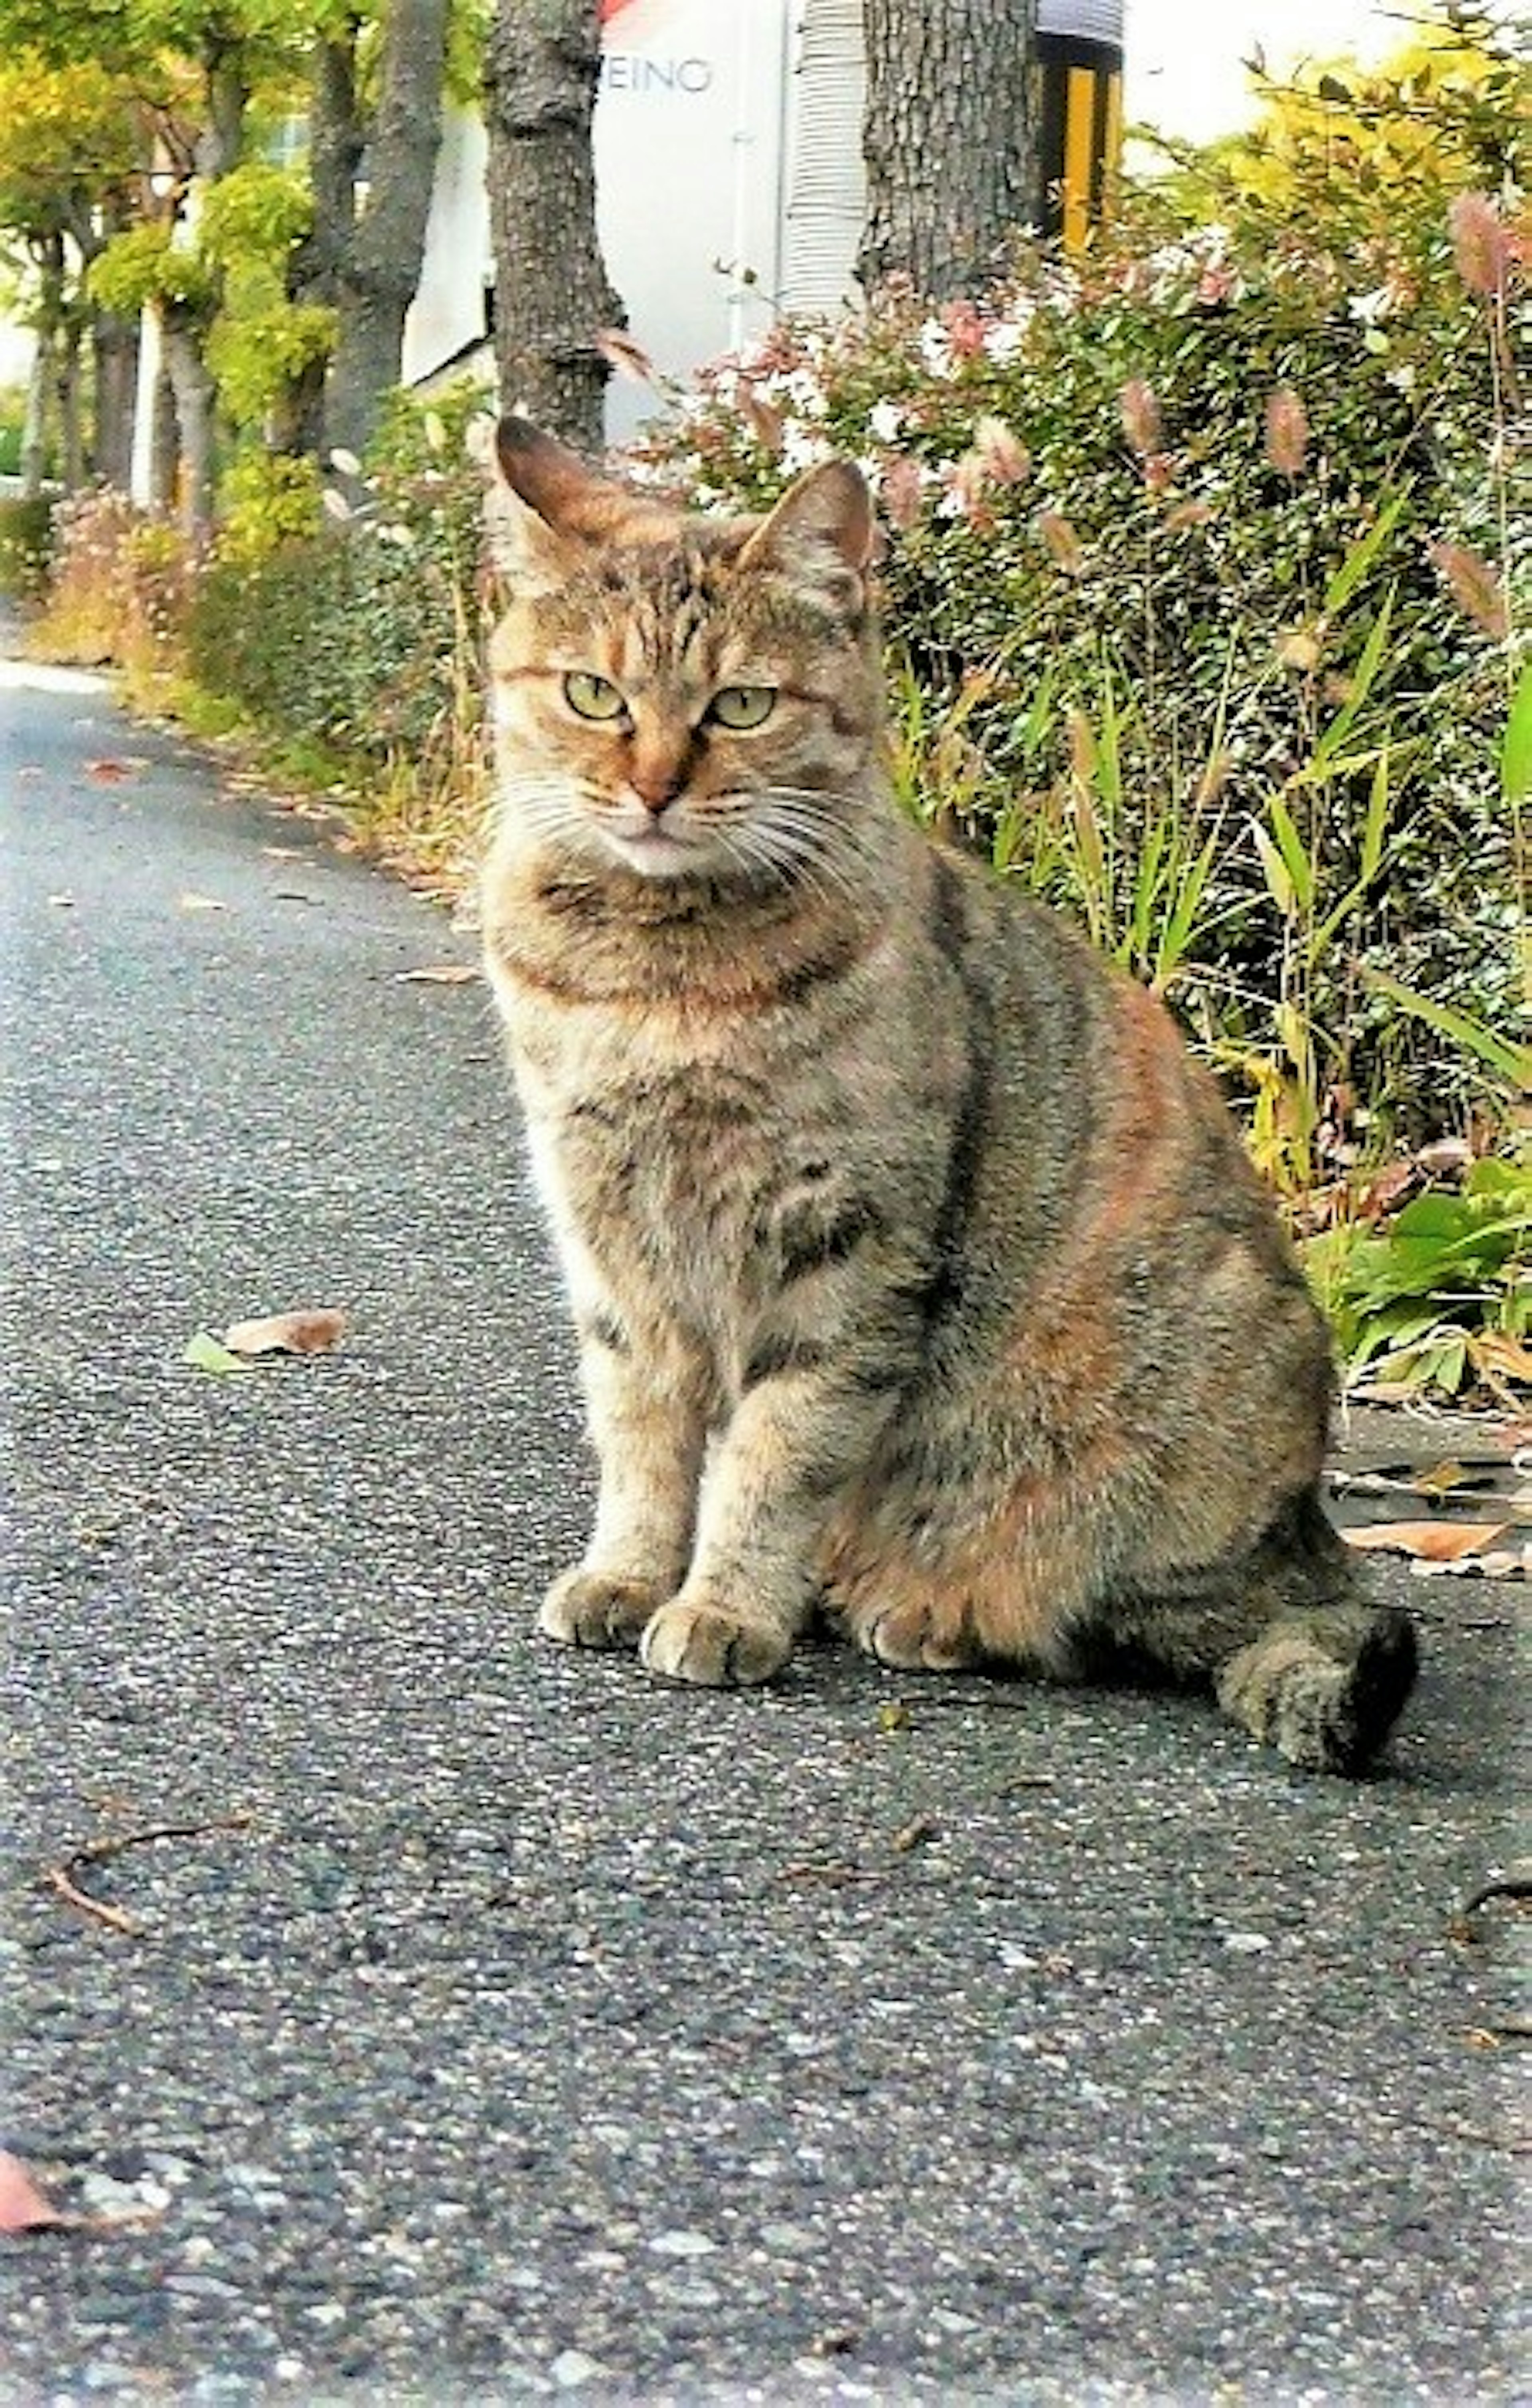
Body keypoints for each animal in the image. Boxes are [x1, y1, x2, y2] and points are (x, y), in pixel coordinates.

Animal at [477, 409, 1416, 1772]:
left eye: (740, 706)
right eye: (593, 695)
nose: (652, 788)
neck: (654, 977)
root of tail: (1307, 1549)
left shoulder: (848, 1248)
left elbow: (775, 1455)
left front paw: (724, 1605)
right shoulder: (611, 1242)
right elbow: (642, 1439)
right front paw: (629, 1575)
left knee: (1128, 1627)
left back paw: (923, 1614)